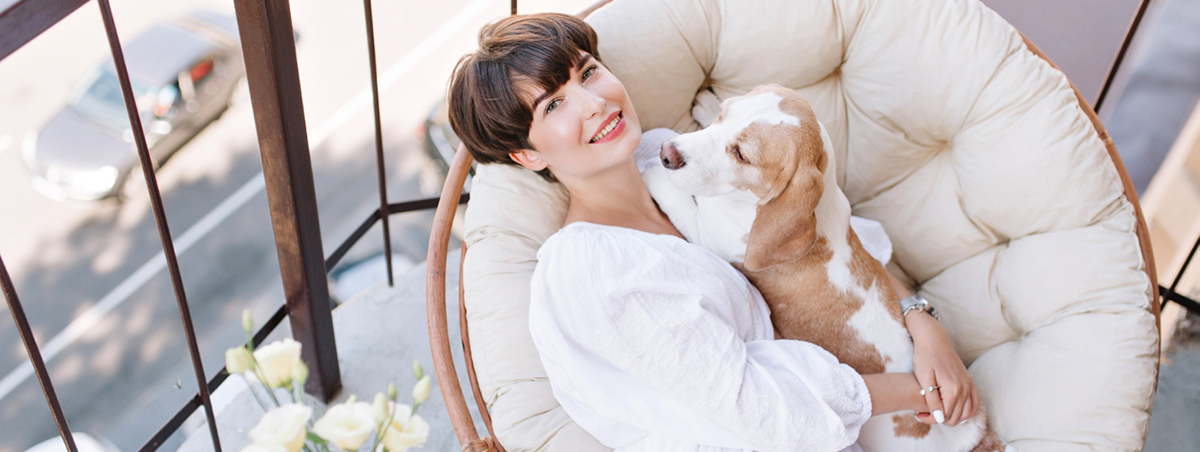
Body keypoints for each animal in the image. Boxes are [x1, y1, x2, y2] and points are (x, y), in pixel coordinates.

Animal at [648, 84, 1003, 450]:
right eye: (724, 115)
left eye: (742, 155)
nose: (667, 153)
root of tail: (974, 436)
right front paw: (705, 104)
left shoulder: (706, 234)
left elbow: (681, 204)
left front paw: (653, 175)